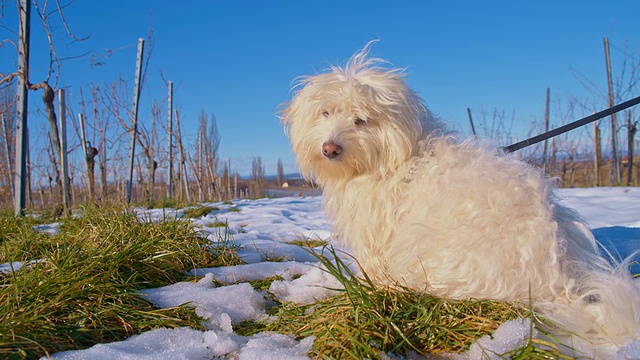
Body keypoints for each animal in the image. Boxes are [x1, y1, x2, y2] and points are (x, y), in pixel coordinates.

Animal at [282, 42, 640, 352]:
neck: (392, 159)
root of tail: (556, 279)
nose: (330, 148)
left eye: (361, 120)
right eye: (326, 113)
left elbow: (373, 265)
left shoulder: (379, 233)